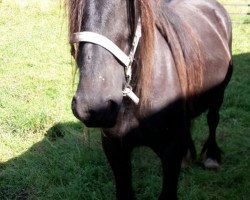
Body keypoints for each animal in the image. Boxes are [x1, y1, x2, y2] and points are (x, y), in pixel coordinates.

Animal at [65, 0, 232, 198]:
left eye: (129, 7)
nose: (92, 107)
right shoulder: (115, 150)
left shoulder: (170, 153)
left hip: (219, 95)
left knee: (213, 119)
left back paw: (212, 157)